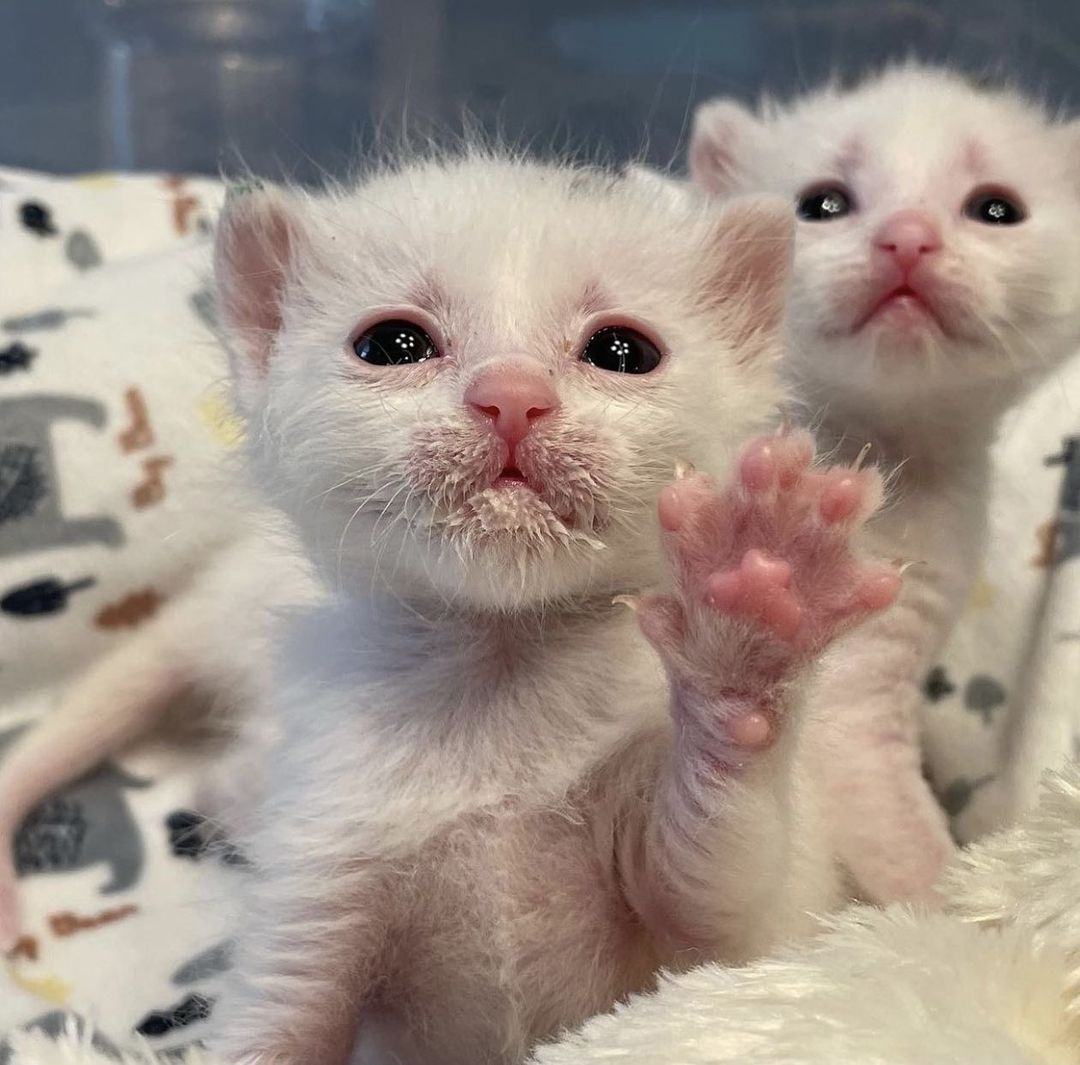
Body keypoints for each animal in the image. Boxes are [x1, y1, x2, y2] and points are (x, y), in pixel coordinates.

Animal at [206, 153, 898, 1062]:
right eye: (391, 344)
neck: (502, 673)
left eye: (622, 350)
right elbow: (274, 1023)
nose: (511, 394)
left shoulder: (724, 935)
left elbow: (721, 881)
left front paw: (753, 613)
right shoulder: (321, 861)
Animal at [686, 62, 1080, 902]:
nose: (908, 237)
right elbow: (900, 838)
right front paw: (954, 900)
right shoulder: (841, 709)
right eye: (823, 202)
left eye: (996, 208)